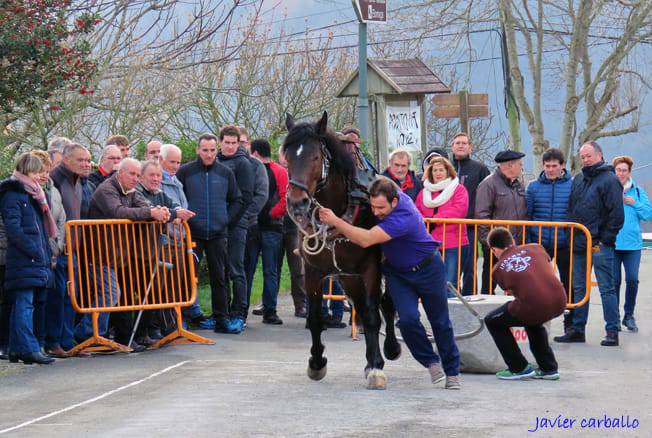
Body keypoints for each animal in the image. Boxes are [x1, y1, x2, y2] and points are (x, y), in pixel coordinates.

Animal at [282, 110, 400, 390]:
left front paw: (377, 368)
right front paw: (316, 363)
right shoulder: (313, 270)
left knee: (385, 305)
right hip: (348, 277)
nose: (297, 203)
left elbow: (373, 316)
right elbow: (315, 318)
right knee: (362, 306)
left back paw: (388, 350)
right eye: (287, 157)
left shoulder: (371, 268)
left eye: (315, 157)